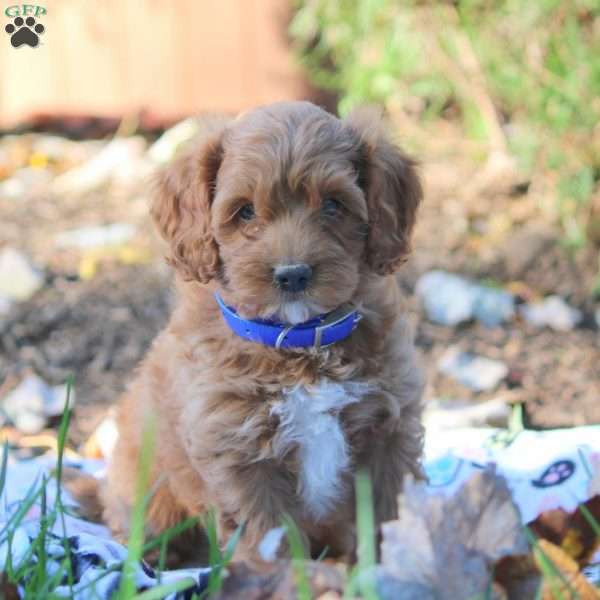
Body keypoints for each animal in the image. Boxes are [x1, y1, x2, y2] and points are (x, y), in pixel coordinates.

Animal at [102, 101, 422, 564]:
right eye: (245, 211)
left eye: (333, 204)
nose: (293, 275)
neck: (300, 342)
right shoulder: (239, 455)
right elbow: (267, 537)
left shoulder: (388, 434)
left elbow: (385, 516)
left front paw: (387, 568)